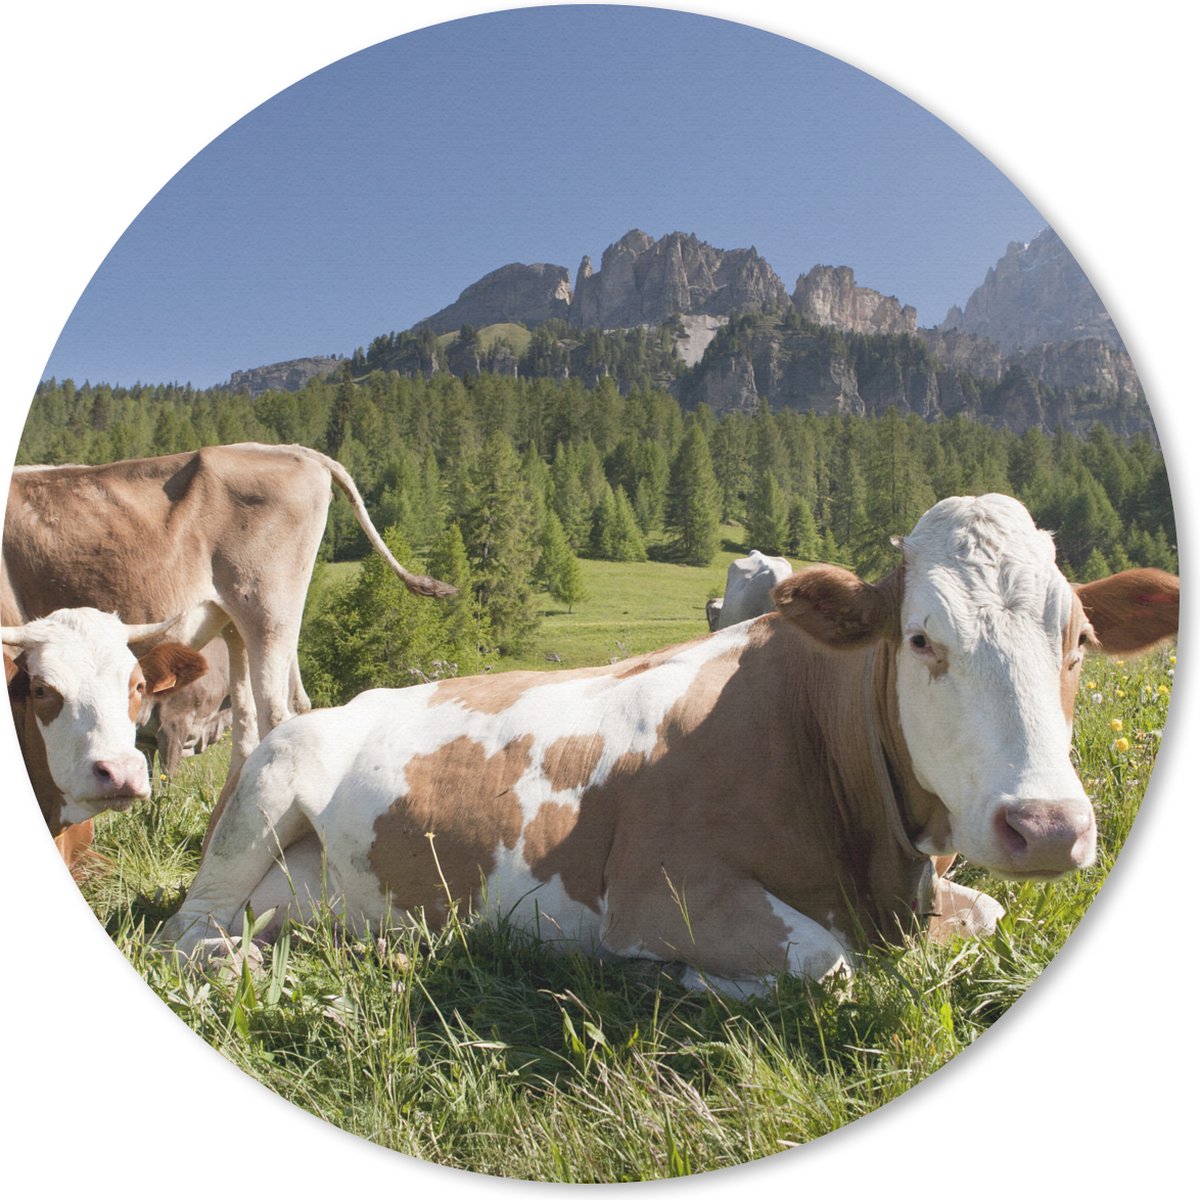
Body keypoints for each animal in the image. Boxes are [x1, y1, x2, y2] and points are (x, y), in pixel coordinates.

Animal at [160, 496, 1179, 996]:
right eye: (924, 638)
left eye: (1078, 641)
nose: (1047, 827)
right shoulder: (661, 888)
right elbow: (828, 964)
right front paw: (682, 976)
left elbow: (990, 914)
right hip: (263, 788)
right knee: (186, 932)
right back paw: (234, 963)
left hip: (317, 892)